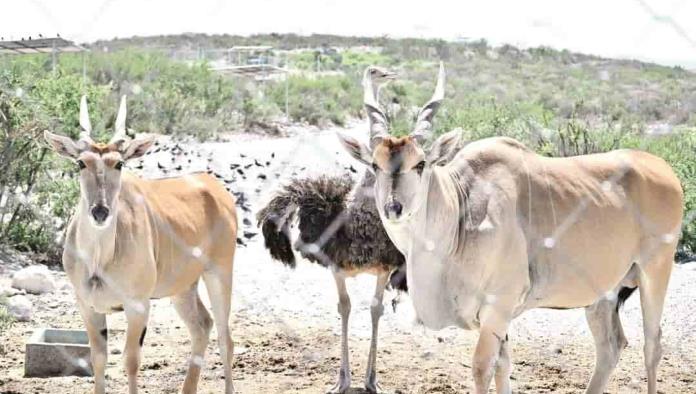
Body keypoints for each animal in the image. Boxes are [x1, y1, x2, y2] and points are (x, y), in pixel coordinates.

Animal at [44, 96, 239, 394]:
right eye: (80, 163)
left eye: (119, 164)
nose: (100, 212)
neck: (100, 258)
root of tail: (215, 187)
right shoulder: (87, 306)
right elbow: (98, 359)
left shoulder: (137, 306)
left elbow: (131, 361)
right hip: (183, 288)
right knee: (202, 327)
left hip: (219, 273)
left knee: (224, 338)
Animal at [338, 63, 684, 392]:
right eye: (375, 165)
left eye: (420, 164)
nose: (393, 208)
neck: (462, 209)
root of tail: (664, 169)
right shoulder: (497, 319)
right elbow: (504, 367)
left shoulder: (497, 308)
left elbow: (482, 368)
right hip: (604, 294)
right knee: (611, 346)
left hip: (655, 271)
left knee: (652, 346)